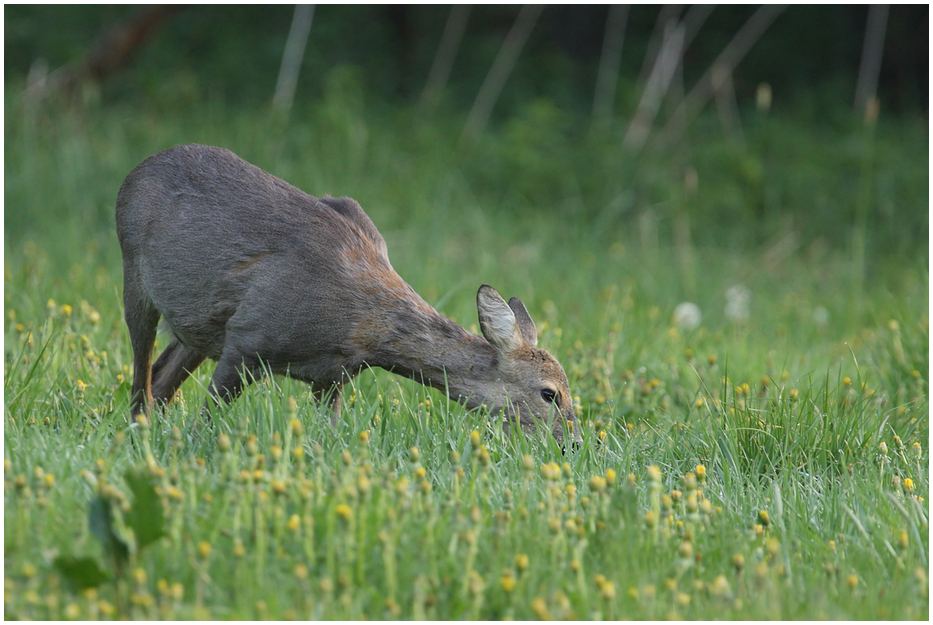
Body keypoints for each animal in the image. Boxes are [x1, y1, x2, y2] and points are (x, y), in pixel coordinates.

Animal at [115, 143, 580, 444]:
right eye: (549, 393)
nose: (573, 443)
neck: (363, 327)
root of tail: (134, 172)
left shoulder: (331, 377)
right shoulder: (248, 339)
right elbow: (204, 422)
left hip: (199, 325)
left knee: (162, 375)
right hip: (134, 274)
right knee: (141, 377)